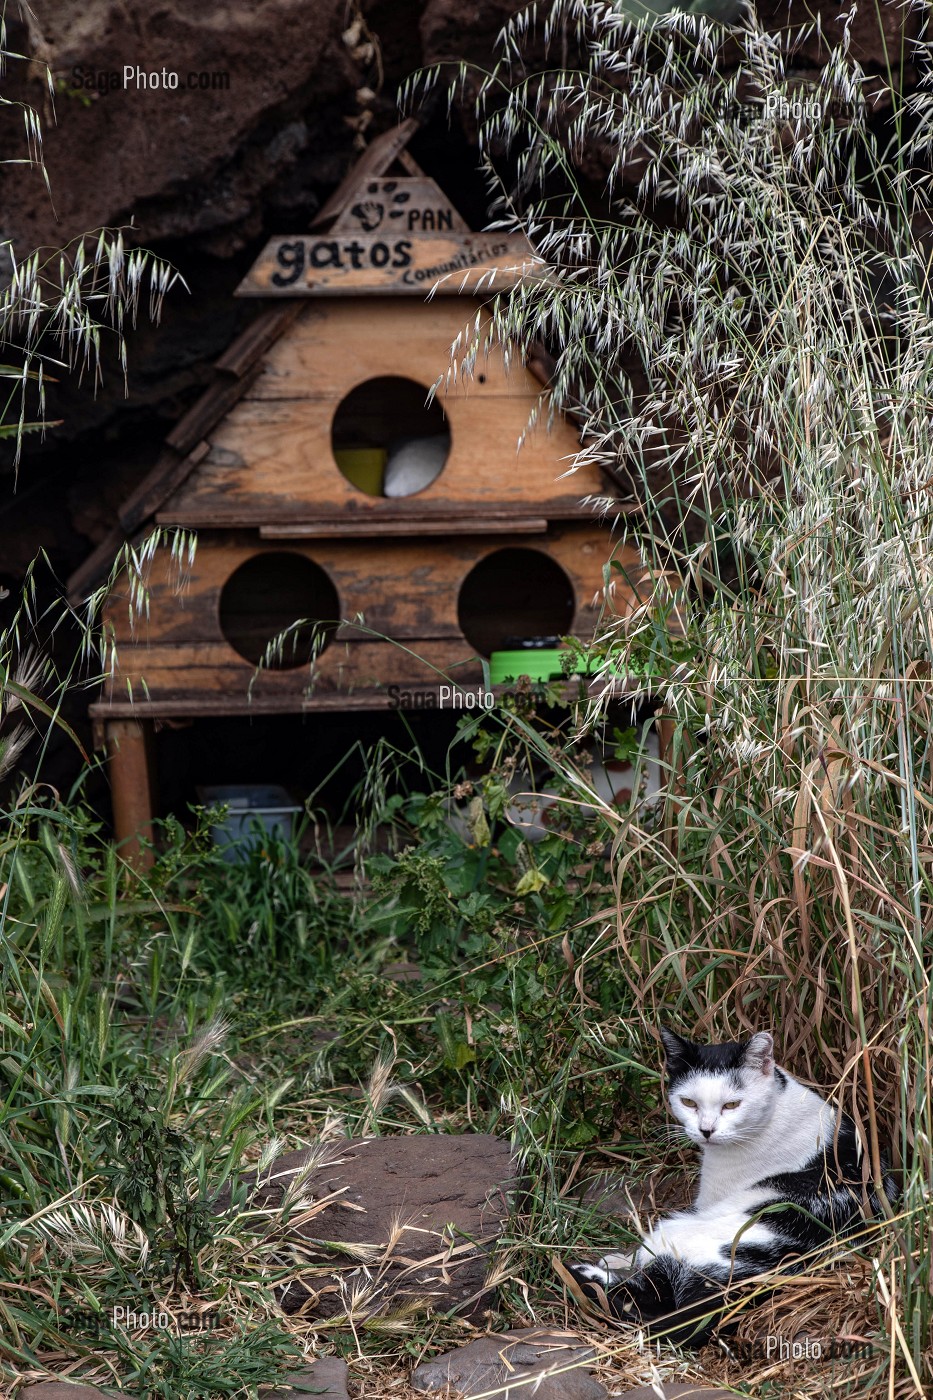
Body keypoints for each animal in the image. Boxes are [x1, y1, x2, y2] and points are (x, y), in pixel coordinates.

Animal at [563, 1030, 896, 1344]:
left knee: (649, 1297)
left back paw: (584, 1272)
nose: (706, 1130)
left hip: (679, 1231)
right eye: (689, 1102)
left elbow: (640, 1258)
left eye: (732, 1105)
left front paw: (615, 1260)